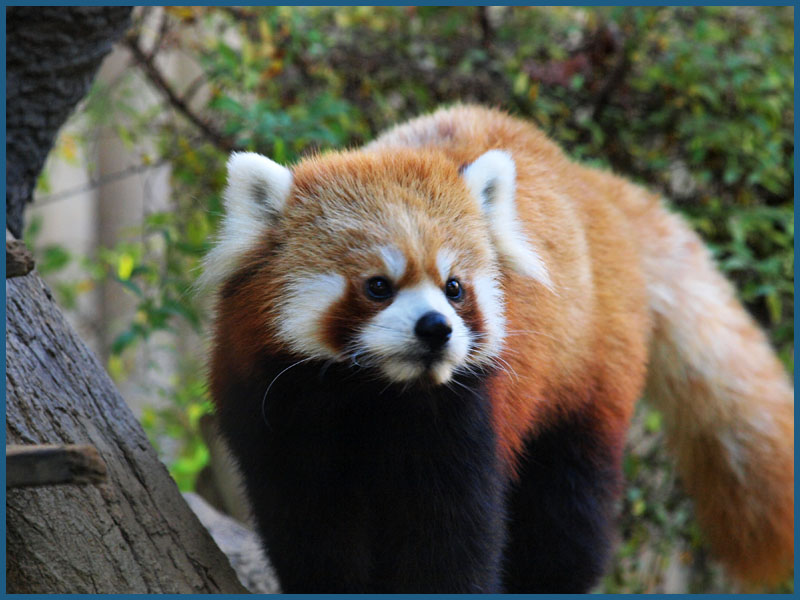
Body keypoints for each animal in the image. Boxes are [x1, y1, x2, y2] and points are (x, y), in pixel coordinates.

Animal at [202, 105, 792, 592]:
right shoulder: (276, 411)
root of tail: (590, 185)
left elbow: (450, 537)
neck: (372, 392)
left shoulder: (464, 416)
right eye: (377, 286)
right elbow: (312, 531)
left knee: (567, 518)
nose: (436, 328)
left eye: (454, 287)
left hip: (584, 379)